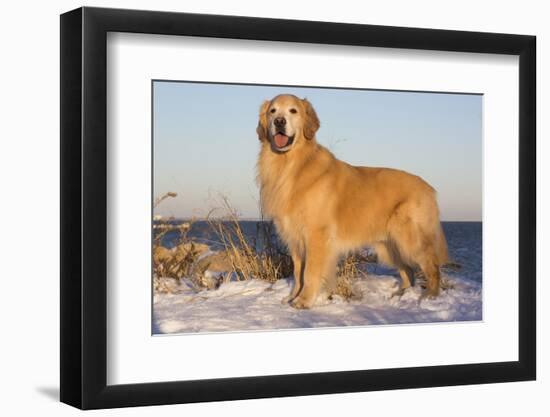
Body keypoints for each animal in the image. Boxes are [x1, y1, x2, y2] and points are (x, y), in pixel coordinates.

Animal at [256, 95, 450, 308]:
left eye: (293, 111)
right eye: (273, 111)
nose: (279, 122)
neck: (293, 165)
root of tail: (429, 188)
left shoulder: (316, 235)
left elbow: (309, 273)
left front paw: (304, 301)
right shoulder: (294, 238)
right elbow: (298, 273)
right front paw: (293, 297)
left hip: (410, 240)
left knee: (432, 266)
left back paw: (429, 297)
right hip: (389, 247)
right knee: (409, 272)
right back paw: (400, 295)